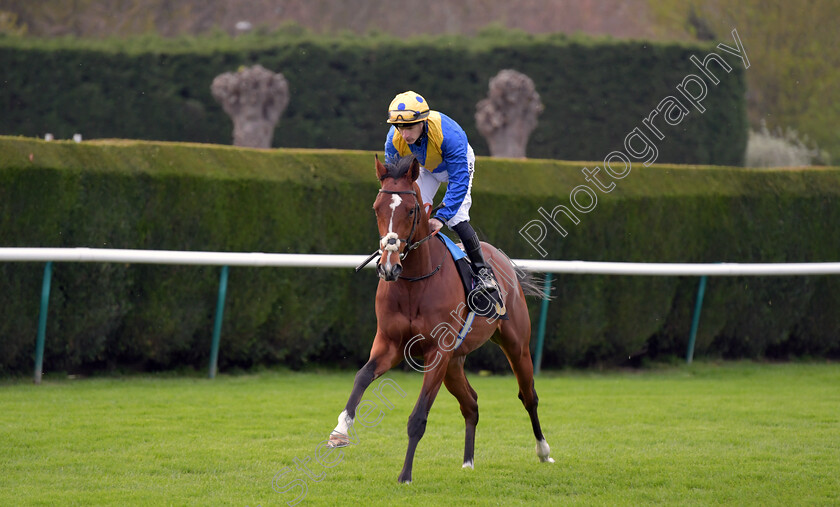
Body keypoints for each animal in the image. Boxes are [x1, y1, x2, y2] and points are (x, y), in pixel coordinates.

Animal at [324, 155, 556, 484]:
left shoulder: (437, 352)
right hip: (454, 364)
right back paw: (468, 462)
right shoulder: (390, 344)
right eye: (376, 208)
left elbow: (418, 416)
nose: (389, 268)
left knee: (528, 396)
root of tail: (501, 258)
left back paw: (543, 451)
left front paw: (405, 475)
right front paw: (340, 430)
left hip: (515, 345)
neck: (413, 282)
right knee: (471, 403)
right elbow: (362, 376)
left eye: (411, 210)